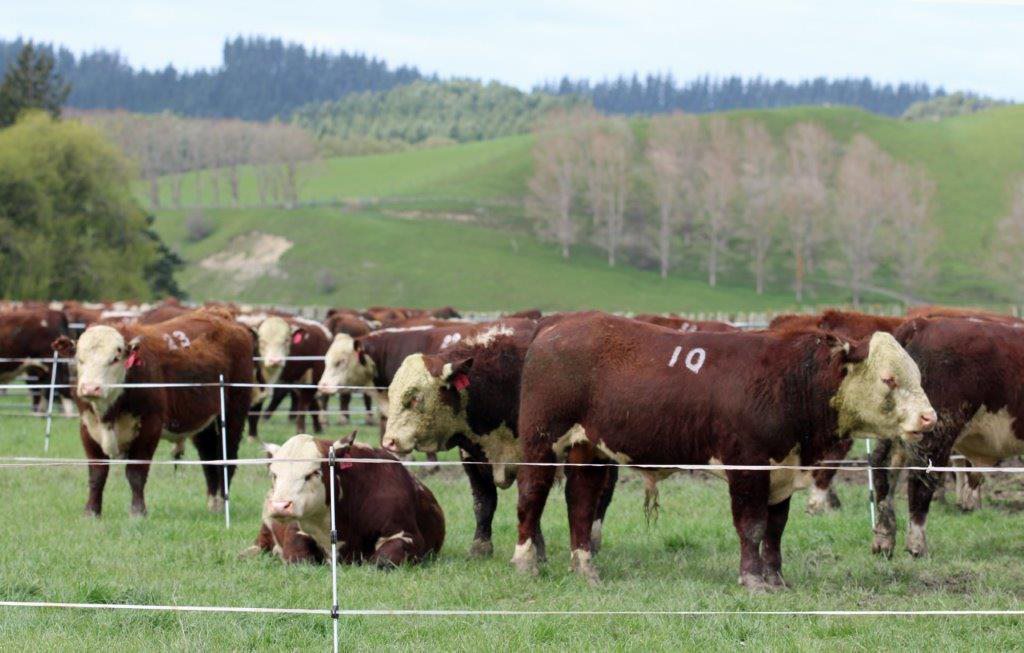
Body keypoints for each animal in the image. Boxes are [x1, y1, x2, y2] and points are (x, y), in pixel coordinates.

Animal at [51, 309, 254, 517]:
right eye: (79, 359)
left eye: (114, 358)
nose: (90, 388)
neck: (108, 415)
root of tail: (220, 314)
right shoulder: (88, 428)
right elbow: (97, 474)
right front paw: (91, 512)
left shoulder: (150, 427)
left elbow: (136, 473)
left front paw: (138, 512)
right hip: (204, 424)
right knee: (209, 459)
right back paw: (214, 505)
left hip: (233, 415)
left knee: (227, 458)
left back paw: (222, 505)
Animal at [246, 433, 445, 567]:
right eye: (275, 474)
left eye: (313, 473)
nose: (280, 506)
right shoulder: (296, 529)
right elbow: (299, 556)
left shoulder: (407, 535)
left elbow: (382, 560)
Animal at [511, 313, 935, 588]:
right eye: (889, 379)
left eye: (918, 375)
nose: (929, 417)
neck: (790, 381)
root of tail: (554, 327)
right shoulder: (747, 466)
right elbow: (752, 525)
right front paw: (753, 579)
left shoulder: (781, 469)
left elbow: (776, 528)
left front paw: (776, 578)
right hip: (541, 440)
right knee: (531, 494)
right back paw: (526, 562)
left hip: (588, 447)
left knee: (580, 502)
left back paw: (585, 568)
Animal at [869, 317, 1024, 558]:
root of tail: (921, 324)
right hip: (935, 430)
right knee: (920, 479)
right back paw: (917, 545)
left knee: (883, 469)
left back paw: (884, 540)